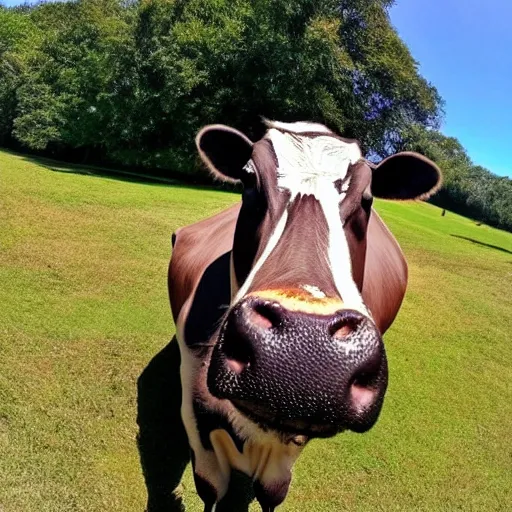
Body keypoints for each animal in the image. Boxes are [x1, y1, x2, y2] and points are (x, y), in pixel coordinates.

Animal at [163, 121, 440, 512]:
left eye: (368, 197)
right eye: (249, 180)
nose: (301, 350)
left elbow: (271, 492)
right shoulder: (195, 411)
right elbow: (210, 490)